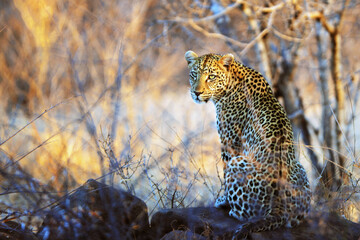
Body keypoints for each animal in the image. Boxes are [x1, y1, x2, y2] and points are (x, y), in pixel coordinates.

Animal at [184, 50, 310, 238]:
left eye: (211, 77)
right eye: (194, 75)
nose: (196, 93)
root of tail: (278, 209)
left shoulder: (230, 141)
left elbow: (224, 172)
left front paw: (222, 199)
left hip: (238, 164)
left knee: (243, 213)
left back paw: (229, 208)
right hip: (300, 171)